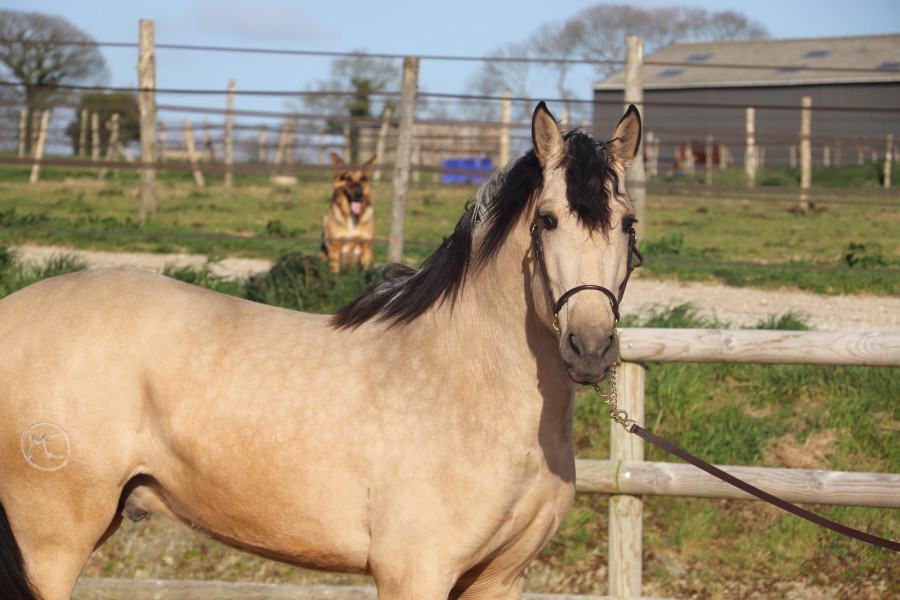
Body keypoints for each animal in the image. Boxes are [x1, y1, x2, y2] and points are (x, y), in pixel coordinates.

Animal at [0, 101, 642, 600]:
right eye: (548, 220)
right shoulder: (415, 573)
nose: (590, 346)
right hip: (50, 542)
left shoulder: (500, 578)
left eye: (628, 224)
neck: (466, 385)